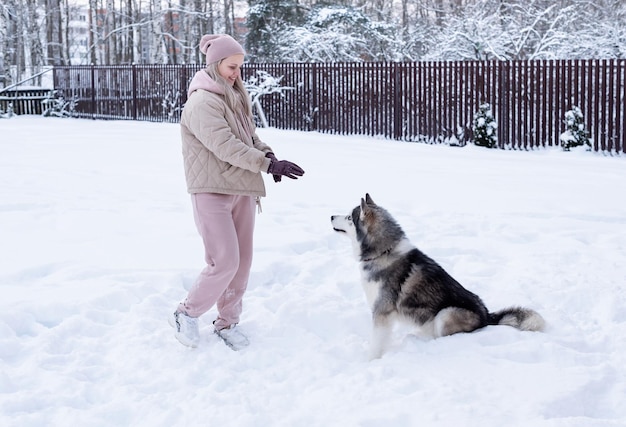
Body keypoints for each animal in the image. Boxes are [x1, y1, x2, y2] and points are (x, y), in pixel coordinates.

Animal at [330, 196, 544, 360]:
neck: (383, 252)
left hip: (445, 314)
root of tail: (487, 316)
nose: (331, 216)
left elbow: (376, 344)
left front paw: (370, 360)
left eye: (349, 217)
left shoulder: (382, 312)